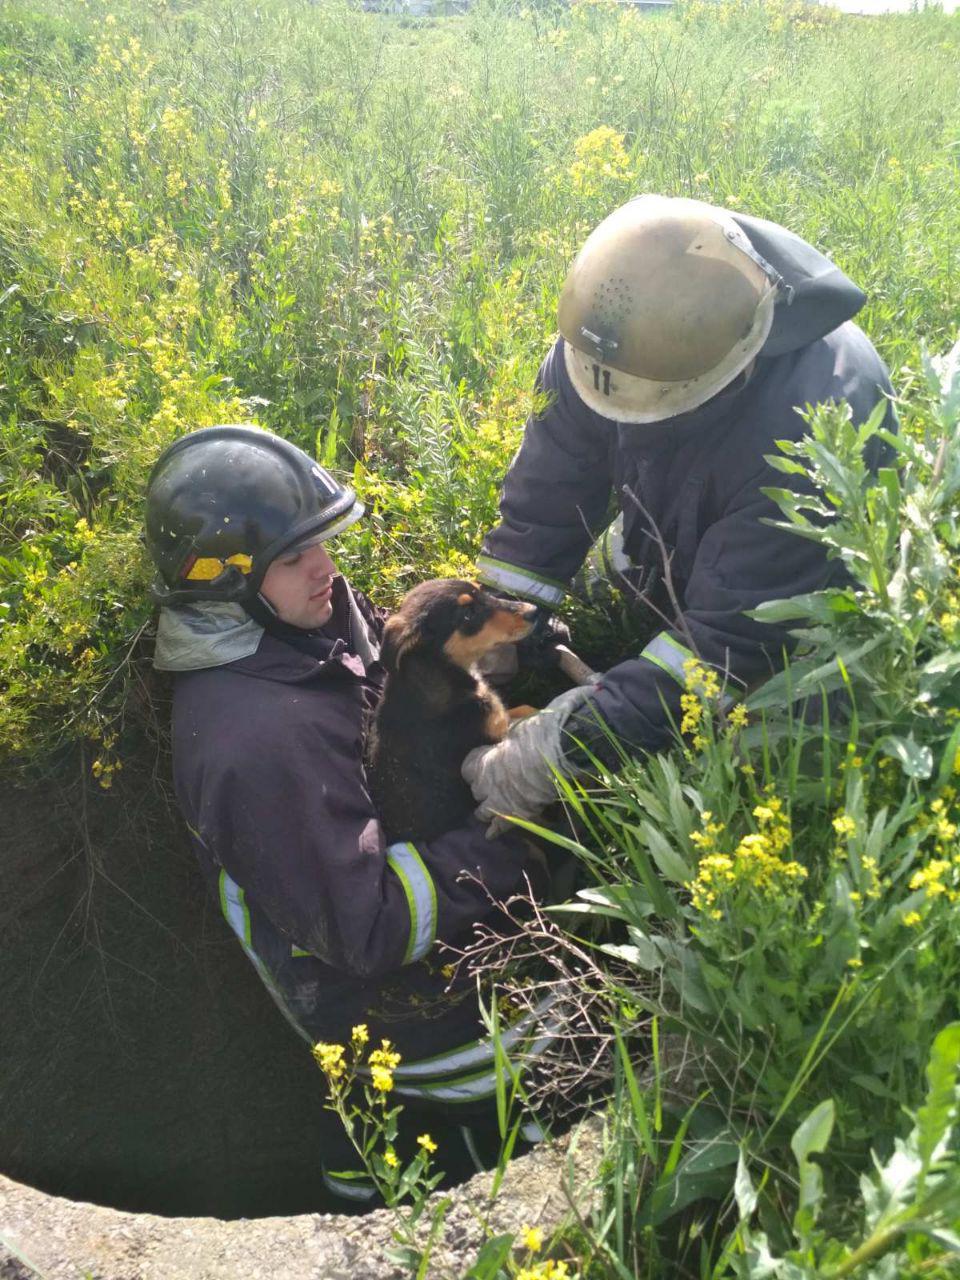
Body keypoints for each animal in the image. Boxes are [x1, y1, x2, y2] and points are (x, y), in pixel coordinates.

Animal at [368, 578, 537, 839]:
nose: (533, 611)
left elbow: (524, 708)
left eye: (480, 591)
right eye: (468, 614)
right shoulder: (494, 733)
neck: (442, 672)